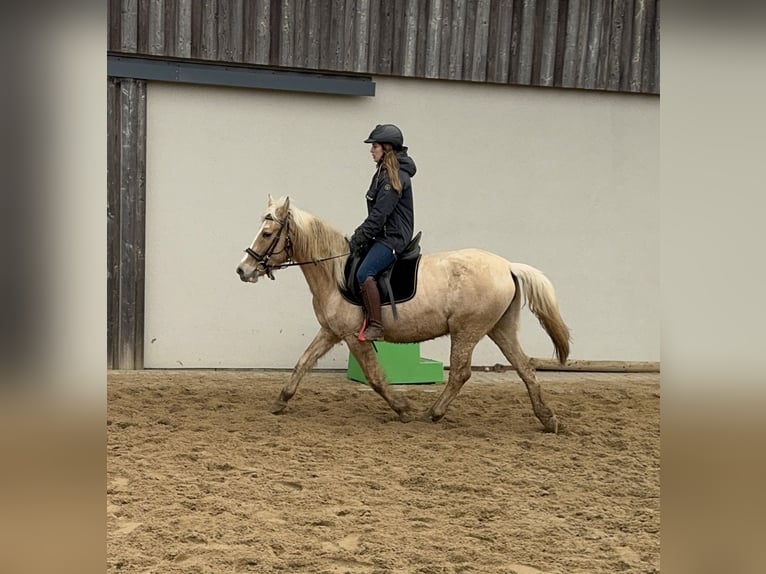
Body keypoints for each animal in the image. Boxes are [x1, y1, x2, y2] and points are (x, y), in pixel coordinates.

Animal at [236, 197, 568, 432]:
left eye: (267, 233)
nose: (243, 270)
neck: (335, 273)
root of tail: (507, 266)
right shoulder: (330, 332)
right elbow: (303, 362)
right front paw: (281, 400)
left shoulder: (353, 337)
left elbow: (375, 377)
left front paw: (403, 408)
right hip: (499, 328)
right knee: (525, 368)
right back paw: (549, 419)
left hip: (467, 331)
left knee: (461, 373)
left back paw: (433, 412)